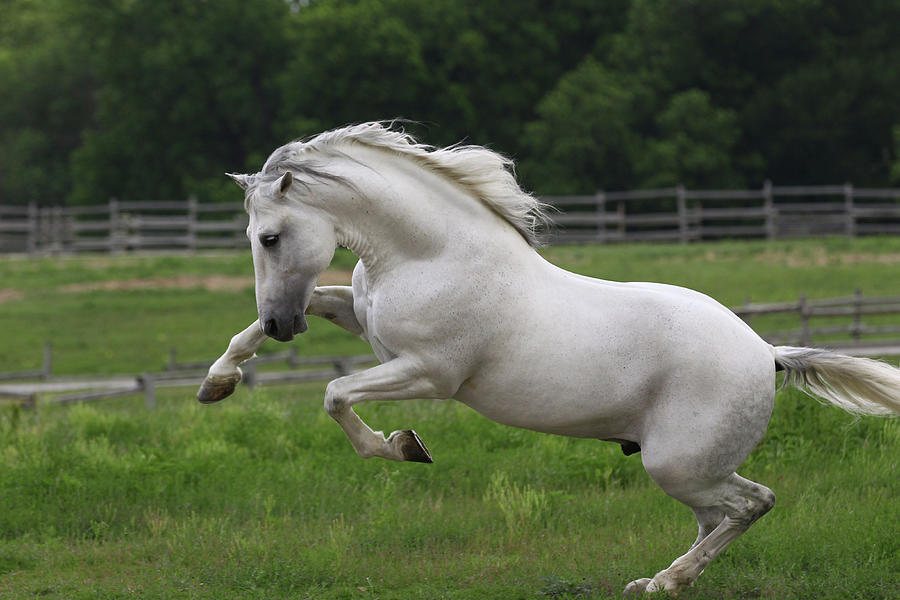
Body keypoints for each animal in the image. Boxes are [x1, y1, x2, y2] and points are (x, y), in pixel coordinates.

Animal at [200, 122, 900, 596]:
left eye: (270, 237)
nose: (282, 323)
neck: (431, 254)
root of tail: (767, 353)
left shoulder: (428, 372)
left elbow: (335, 395)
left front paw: (405, 447)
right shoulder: (363, 323)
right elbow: (275, 325)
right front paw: (217, 384)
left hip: (680, 464)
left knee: (753, 503)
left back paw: (664, 582)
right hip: (689, 469)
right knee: (720, 516)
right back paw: (661, 581)